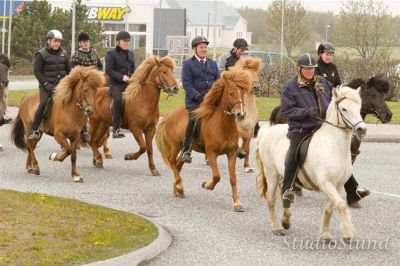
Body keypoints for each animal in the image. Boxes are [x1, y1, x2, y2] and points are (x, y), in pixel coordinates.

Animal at [155, 69, 250, 213]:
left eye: (243, 92)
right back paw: (179, 186)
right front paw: (206, 185)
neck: (223, 125)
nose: (241, 114)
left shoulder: (232, 153)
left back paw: (178, 188)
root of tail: (169, 114)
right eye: (230, 93)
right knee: (172, 162)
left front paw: (237, 203)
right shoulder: (211, 153)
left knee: (178, 164)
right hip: (175, 145)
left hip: (183, 149)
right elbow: (217, 176)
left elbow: (233, 178)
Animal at [256, 86, 366, 242]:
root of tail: (268, 131)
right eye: (344, 109)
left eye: (359, 107)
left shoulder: (337, 186)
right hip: (271, 173)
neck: (334, 146)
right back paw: (276, 227)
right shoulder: (325, 183)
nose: (362, 129)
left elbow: (330, 209)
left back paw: (286, 220)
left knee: (284, 192)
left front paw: (325, 234)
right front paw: (347, 234)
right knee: (271, 199)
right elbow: (341, 204)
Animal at [270, 75, 392, 208]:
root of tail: (279, 110)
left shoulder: (349, 156)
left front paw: (355, 194)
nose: (388, 115)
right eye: (373, 94)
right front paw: (353, 196)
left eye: (382, 95)